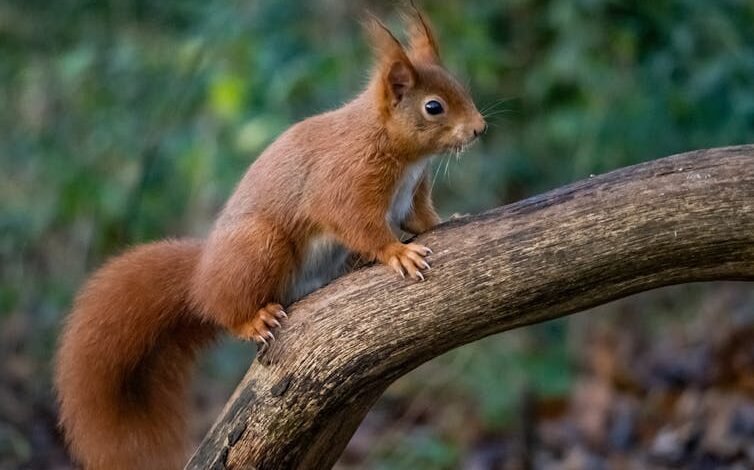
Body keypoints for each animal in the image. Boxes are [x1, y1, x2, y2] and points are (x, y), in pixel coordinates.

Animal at [55, 5, 484, 468]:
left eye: (461, 86)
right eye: (433, 107)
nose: (480, 128)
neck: (399, 151)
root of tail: (201, 276)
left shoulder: (411, 194)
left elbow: (420, 217)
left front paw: (448, 218)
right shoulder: (344, 181)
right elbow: (358, 223)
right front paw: (395, 253)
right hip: (259, 247)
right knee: (224, 308)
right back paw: (253, 319)